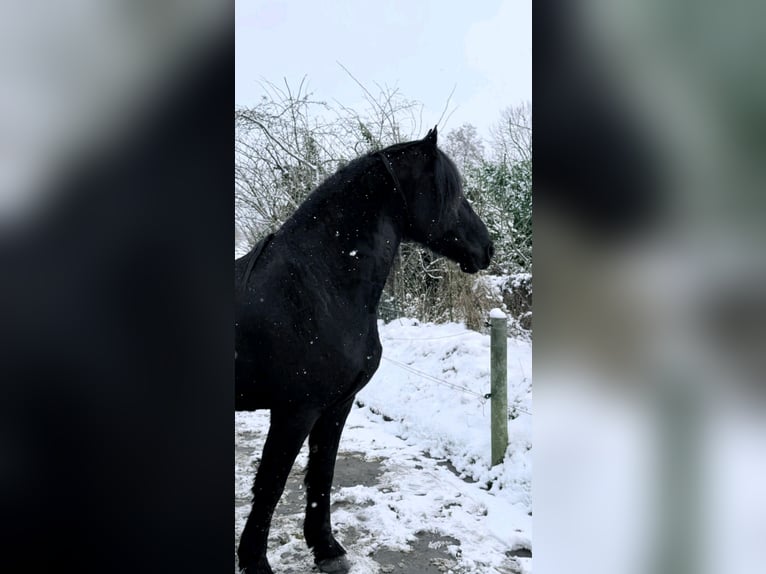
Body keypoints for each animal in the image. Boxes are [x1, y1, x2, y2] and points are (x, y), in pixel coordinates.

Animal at [234, 127, 493, 574]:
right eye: (452, 193)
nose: (487, 248)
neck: (317, 287)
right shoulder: (295, 410)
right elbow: (271, 483)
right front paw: (255, 562)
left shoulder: (336, 405)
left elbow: (321, 474)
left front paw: (327, 549)